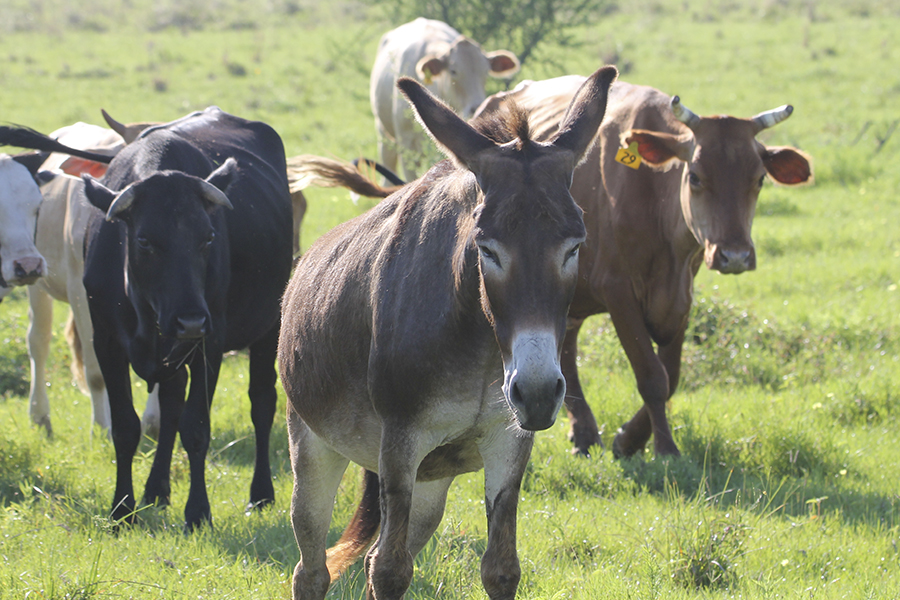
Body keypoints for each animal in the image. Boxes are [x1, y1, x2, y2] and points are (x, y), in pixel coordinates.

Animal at [74, 108, 292, 528]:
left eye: (208, 238)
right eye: (144, 240)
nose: (189, 321)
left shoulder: (211, 339)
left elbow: (196, 428)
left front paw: (198, 512)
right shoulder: (105, 340)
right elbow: (125, 427)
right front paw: (122, 510)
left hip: (267, 325)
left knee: (262, 403)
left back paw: (260, 493)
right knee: (172, 403)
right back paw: (156, 489)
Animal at [474, 77, 812, 458]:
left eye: (759, 179)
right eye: (695, 177)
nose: (735, 255)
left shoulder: (682, 294)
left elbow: (672, 375)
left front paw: (632, 438)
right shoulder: (618, 291)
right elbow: (652, 376)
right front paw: (661, 447)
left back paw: (584, 431)